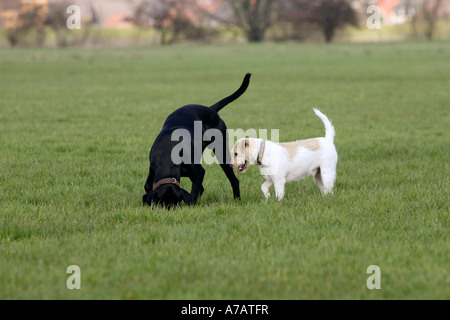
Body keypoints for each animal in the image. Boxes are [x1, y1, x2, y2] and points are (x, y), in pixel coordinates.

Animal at [143, 73, 251, 209]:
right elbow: (147, 185)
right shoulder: (152, 168)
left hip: (221, 152)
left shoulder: (198, 172)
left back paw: (237, 200)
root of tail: (211, 109)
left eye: (176, 205)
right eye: (161, 205)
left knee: (234, 180)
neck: (167, 156)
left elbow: (194, 192)